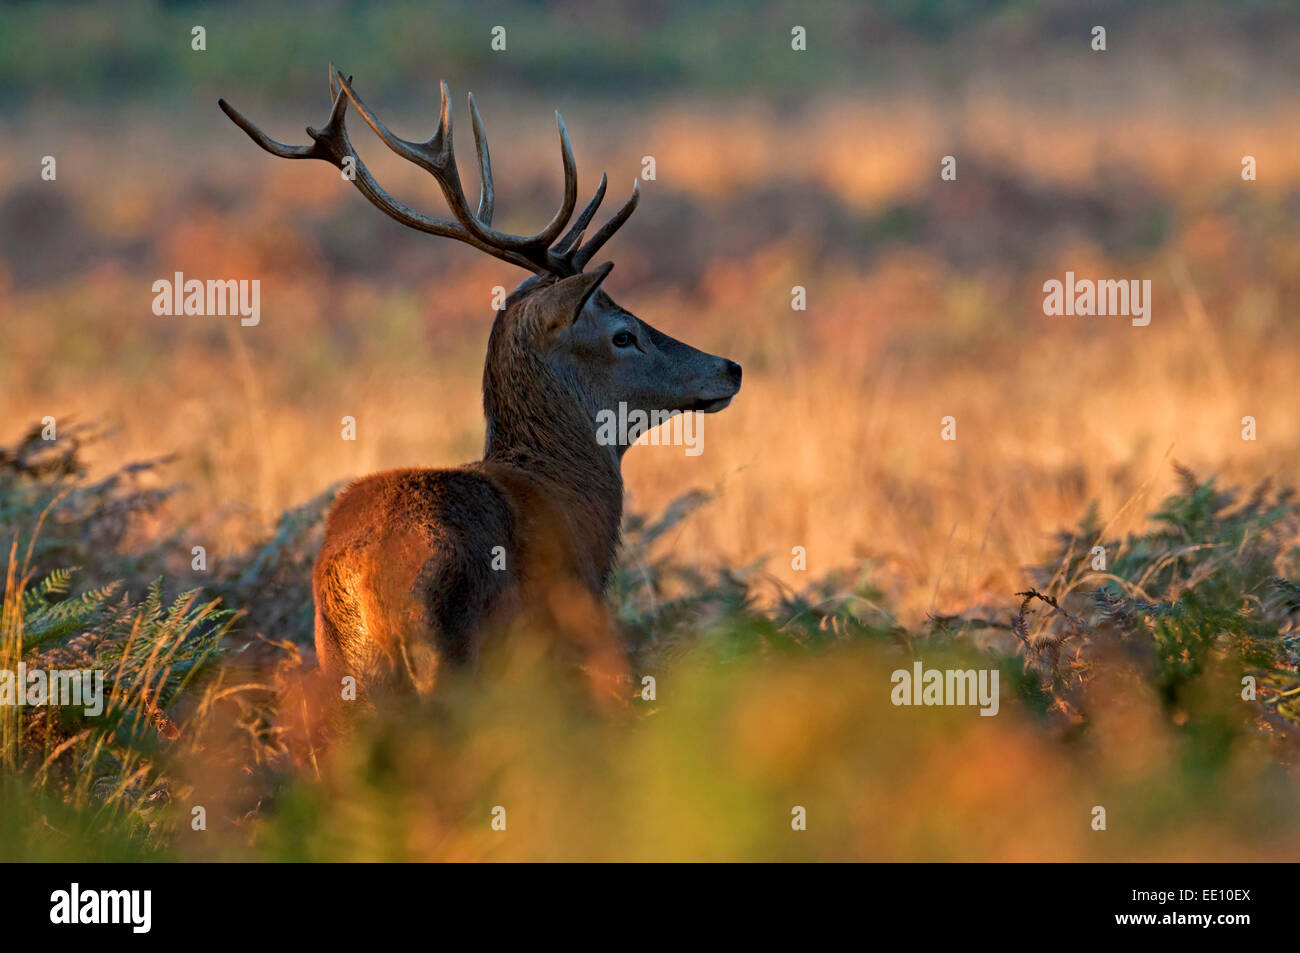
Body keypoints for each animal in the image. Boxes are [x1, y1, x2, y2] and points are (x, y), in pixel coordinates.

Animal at [218, 66, 738, 702]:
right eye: (623, 334)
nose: (730, 368)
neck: (572, 503)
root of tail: (362, 577)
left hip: (341, 665)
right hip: (459, 658)